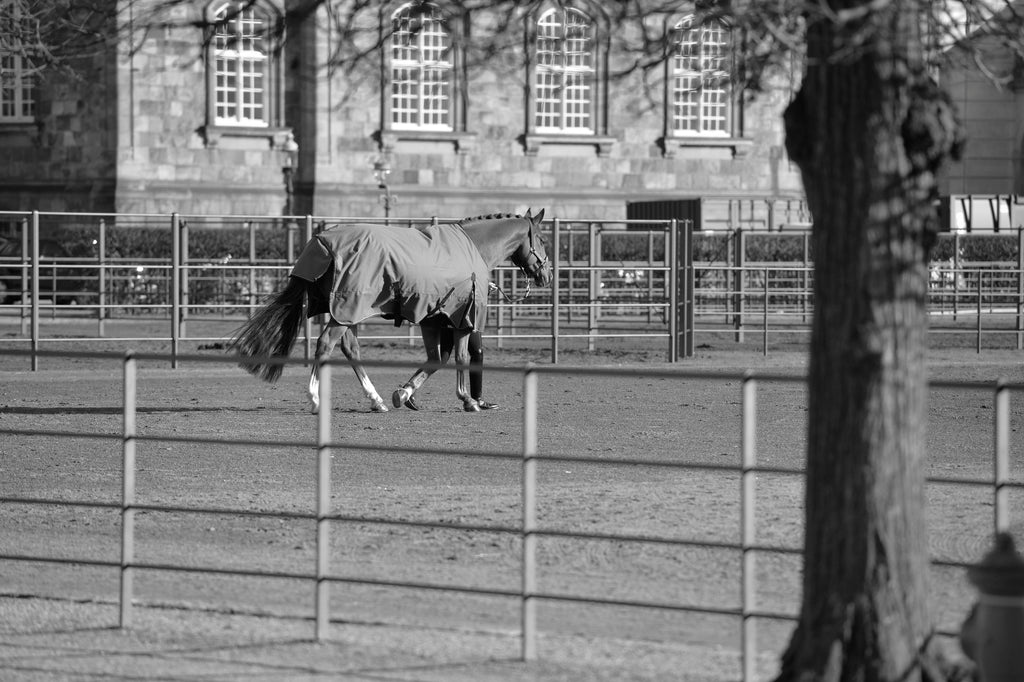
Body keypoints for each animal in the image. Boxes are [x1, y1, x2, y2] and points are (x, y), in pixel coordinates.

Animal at [229, 208, 557, 409]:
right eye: (542, 239)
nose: (547, 275)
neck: (472, 247)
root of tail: (321, 242)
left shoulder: (432, 318)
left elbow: (436, 358)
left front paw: (404, 394)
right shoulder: (463, 318)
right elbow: (463, 356)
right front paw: (468, 400)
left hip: (347, 313)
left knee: (350, 349)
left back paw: (376, 400)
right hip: (348, 308)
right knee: (325, 344)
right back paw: (315, 399)